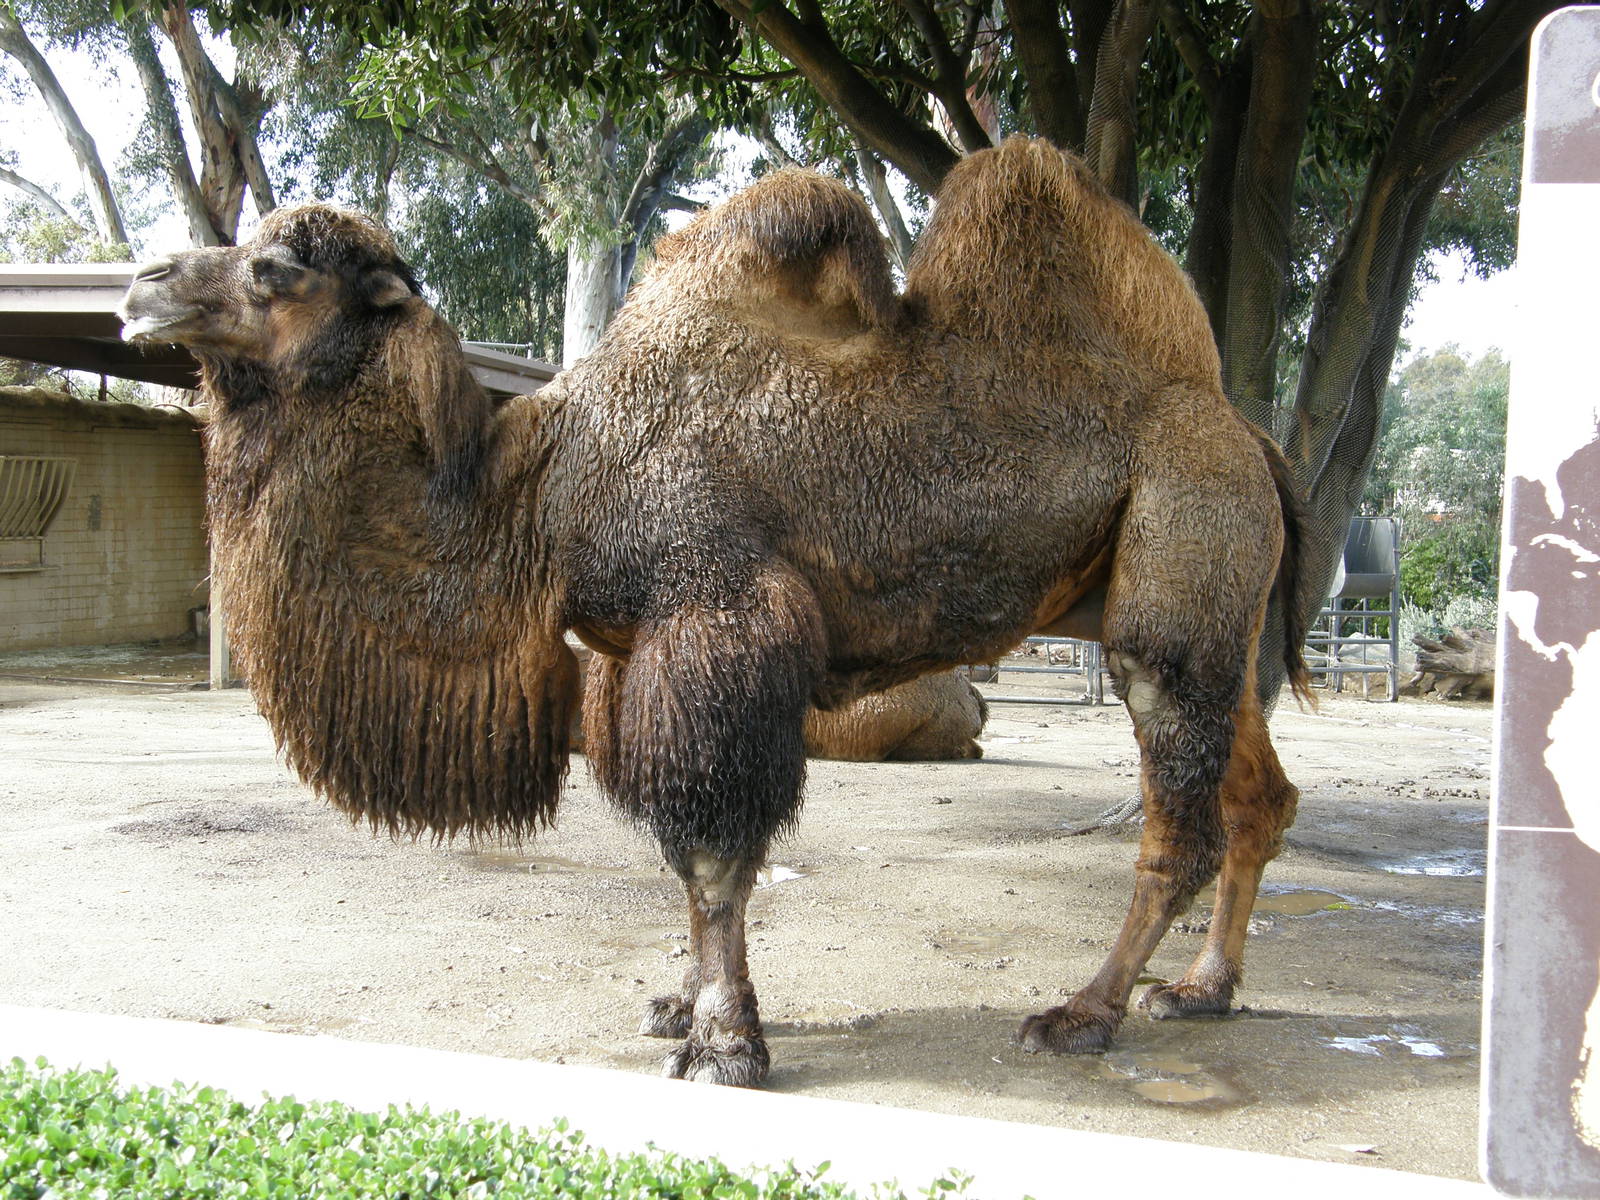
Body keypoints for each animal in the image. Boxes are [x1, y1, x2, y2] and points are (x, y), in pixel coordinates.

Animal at [119, 136, 1309, 1087]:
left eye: (276, 269)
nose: (143, 283)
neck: (539, 492)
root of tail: (1251, 436)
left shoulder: (716, 618)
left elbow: (712, 852)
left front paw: (727, 1042)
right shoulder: (630, 655)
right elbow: (679, 853)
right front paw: (679, 1007)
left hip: (1180, 544)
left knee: (1181, 813)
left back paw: (1084, 1012)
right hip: (1191, 598)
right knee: (1261, 794)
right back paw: (1203, 989)